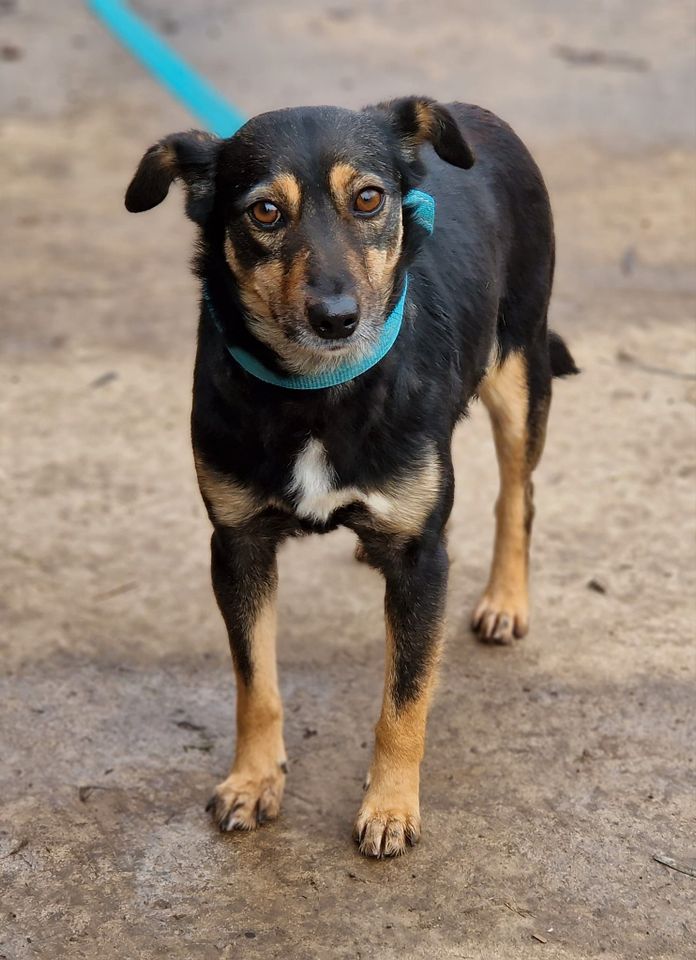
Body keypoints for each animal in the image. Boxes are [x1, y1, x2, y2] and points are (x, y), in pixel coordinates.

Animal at [125, 97, 576, 860]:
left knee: (518, 494)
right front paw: (254, 780)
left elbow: (404, 700)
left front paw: (390, 807)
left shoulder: (422, 561)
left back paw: (505, 599)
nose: (336, 319)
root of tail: (474, 113)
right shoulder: (237, 546)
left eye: (368, 199)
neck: (318, 391)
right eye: (265, 211)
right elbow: (255, 682)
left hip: (519, 373)